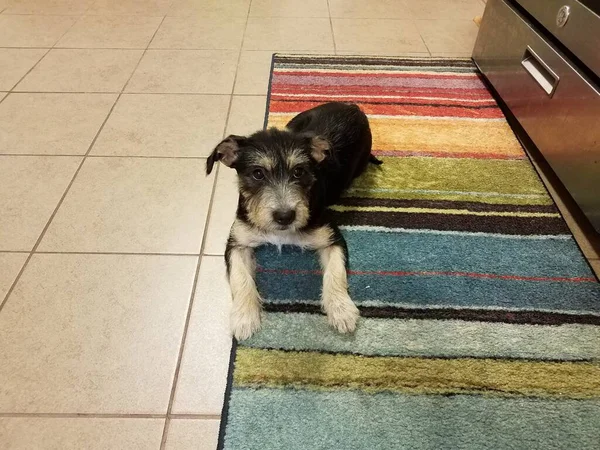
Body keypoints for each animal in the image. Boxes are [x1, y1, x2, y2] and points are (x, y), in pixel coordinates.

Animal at [207, 102, 380, 340]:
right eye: (258, 173)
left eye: (299, 171)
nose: (285, 216)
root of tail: (352, 106)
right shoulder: (237, 242)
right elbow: (239, 276)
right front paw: (244, 317)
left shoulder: (332, 237)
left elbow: (336, 272)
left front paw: (342, 310)